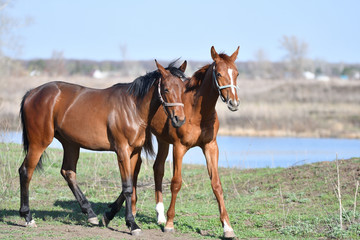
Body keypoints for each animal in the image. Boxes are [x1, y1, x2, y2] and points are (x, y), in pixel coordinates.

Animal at [19, 59, 188, 234]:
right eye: (166, 89)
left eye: (183, 89)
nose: (179, 119)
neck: (133, 107)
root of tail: (32, 93)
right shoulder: (122, 151)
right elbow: (128, 187)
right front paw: (132, 224)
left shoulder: (134, 152)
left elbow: (130, 184)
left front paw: (108, 215)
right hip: (39, 143)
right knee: (26, 172)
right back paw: (28, 217)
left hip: (70, 143)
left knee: (68, 173)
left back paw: (90, 213)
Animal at [102, 47, 240, 238]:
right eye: (219, 73)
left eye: (237, 73)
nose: (234, 103)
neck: (197, 112)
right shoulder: (179, 147)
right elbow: (176, 183)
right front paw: (169, 223)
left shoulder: (211, 146)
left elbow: (216, 184)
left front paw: (227, 227)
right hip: (139, 144)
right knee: (135, 170)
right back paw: (134, 212)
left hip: (162, 141)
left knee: (157, 169)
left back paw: (158, 215)